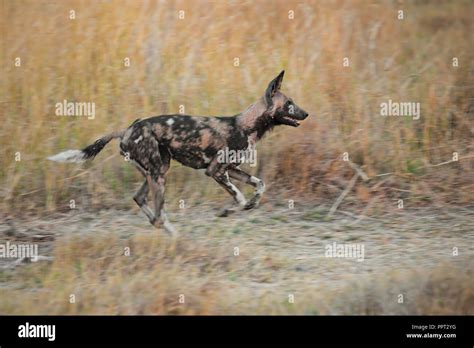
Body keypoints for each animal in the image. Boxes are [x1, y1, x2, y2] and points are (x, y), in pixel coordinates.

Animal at [47, 71, 308, 238]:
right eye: (290, 103)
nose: (306, 114)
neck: (246, 126)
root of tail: (127, 129)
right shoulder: (216, 171)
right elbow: (240, 198)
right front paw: (228, 211)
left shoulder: (231, 170)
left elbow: (260, 185)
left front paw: (250, 205)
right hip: (158, 174)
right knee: (158, 215)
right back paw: (175, 236)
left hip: (157, 170)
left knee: (141, 201)